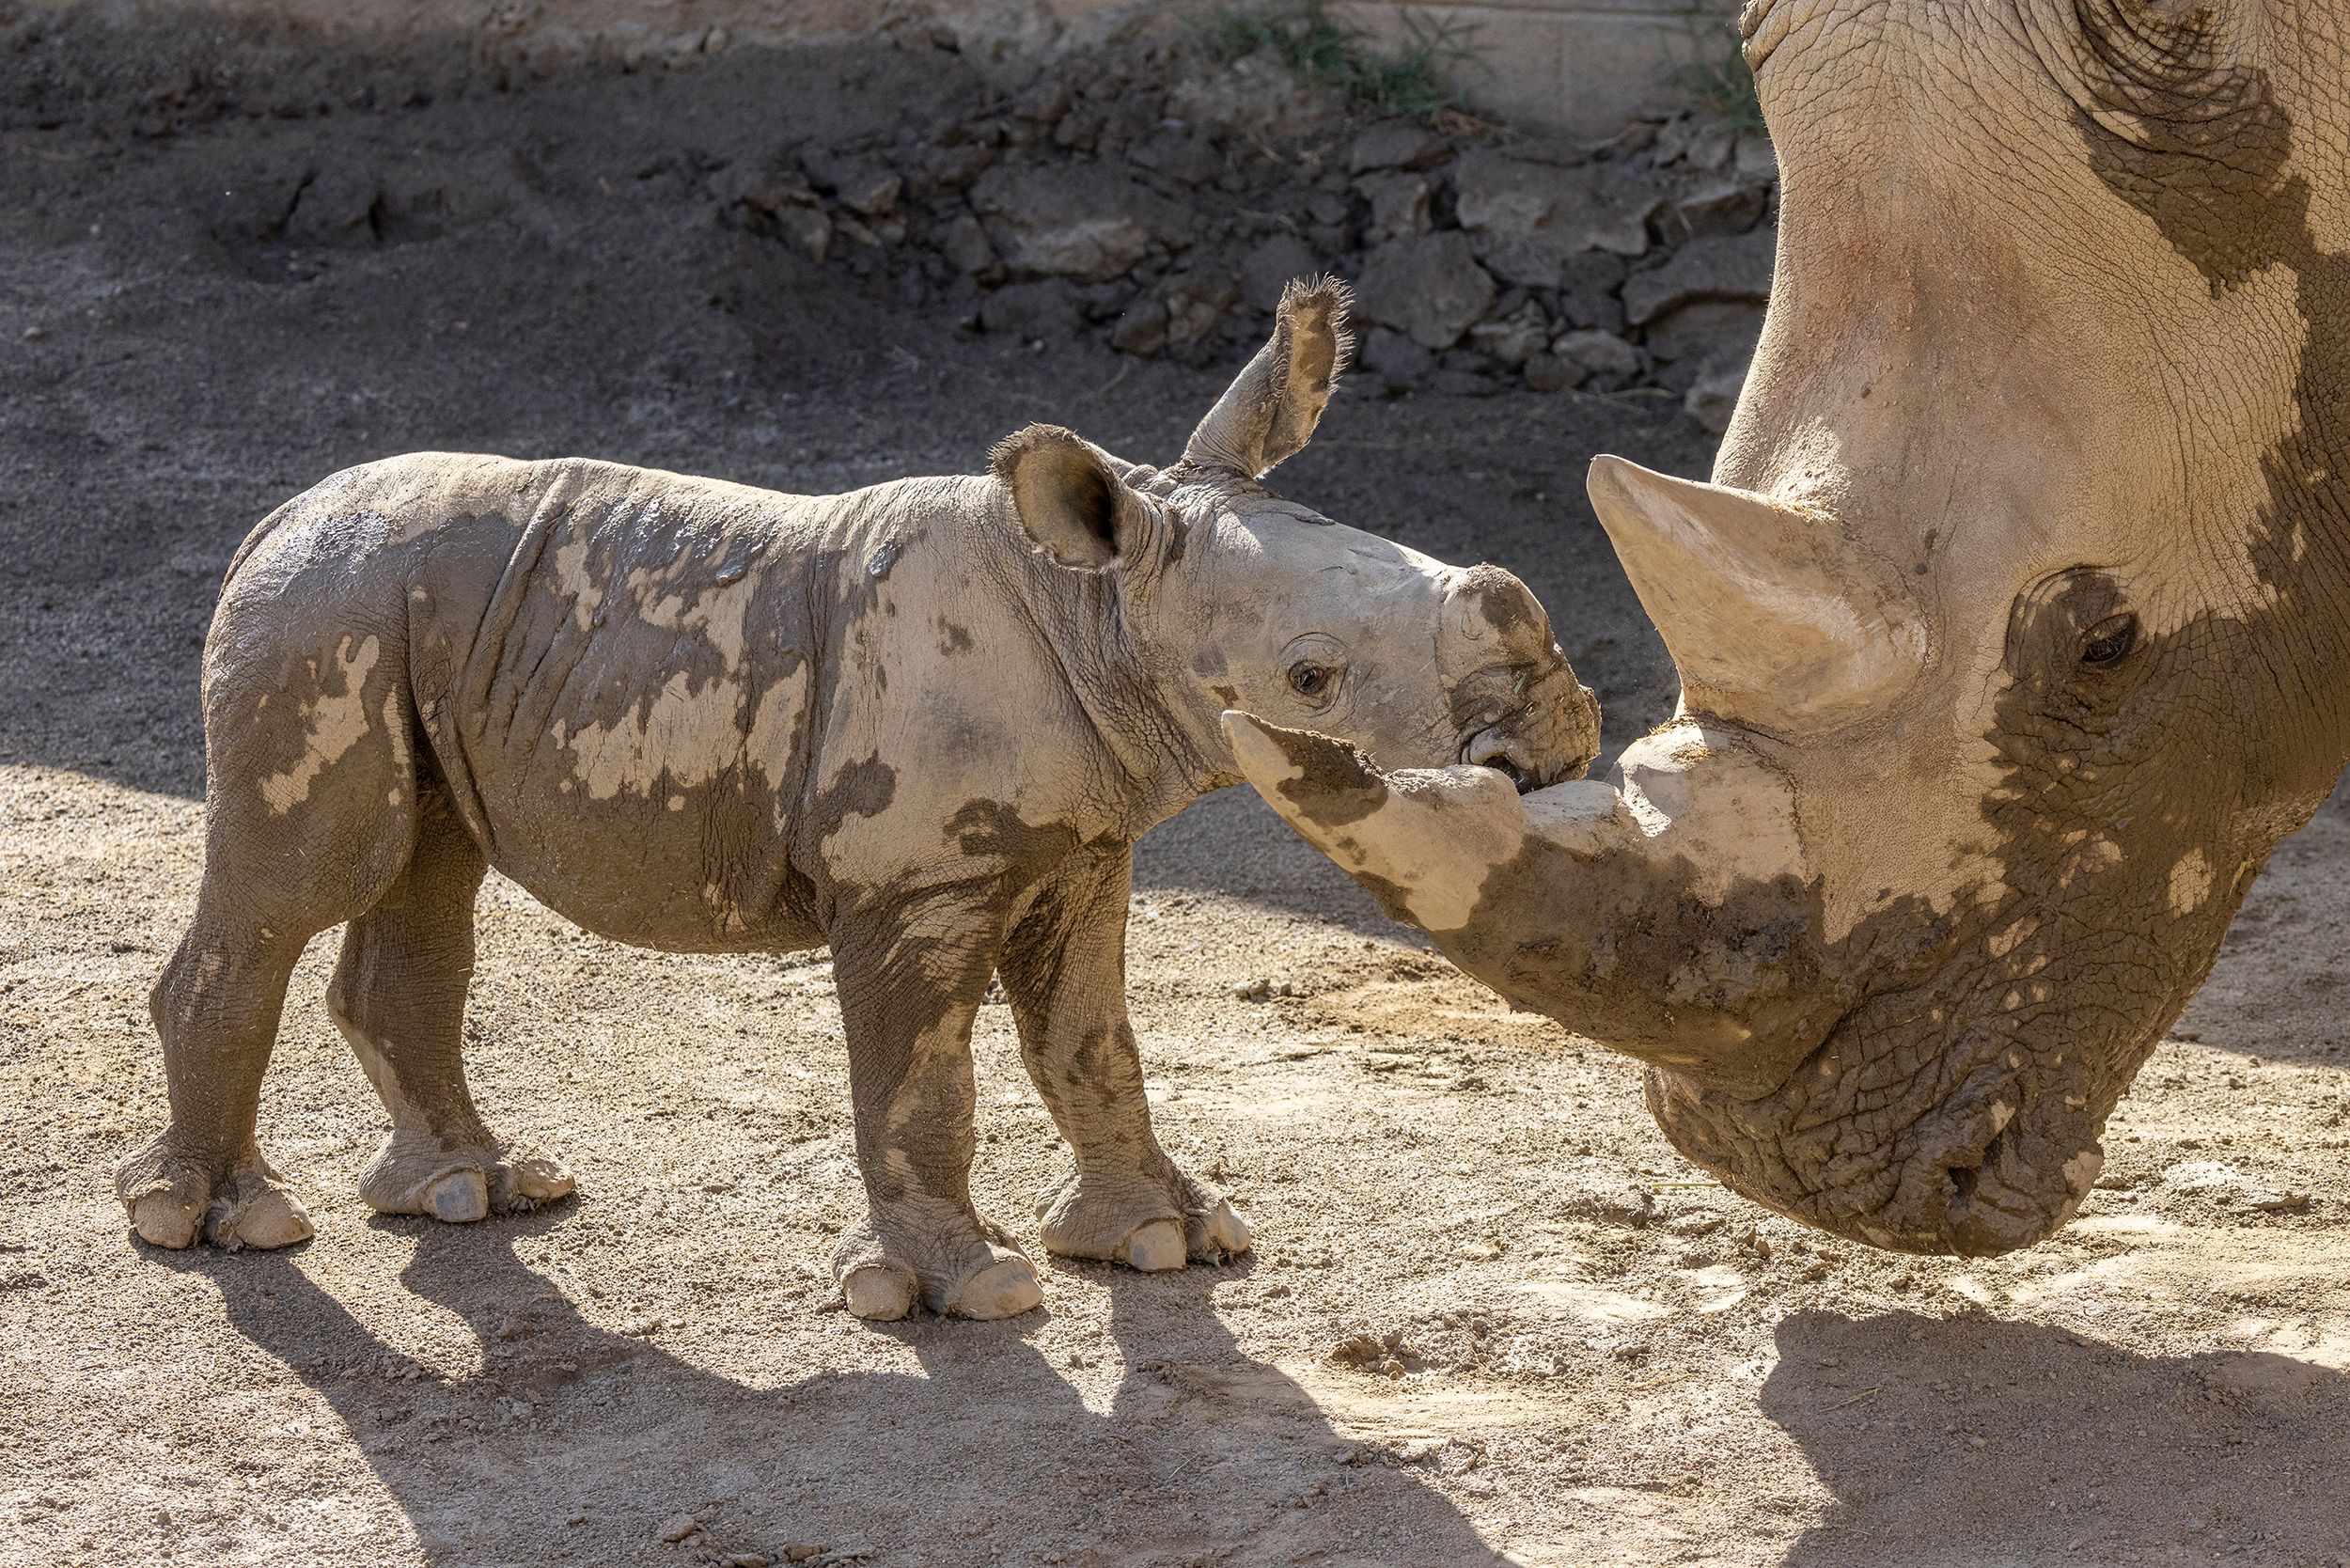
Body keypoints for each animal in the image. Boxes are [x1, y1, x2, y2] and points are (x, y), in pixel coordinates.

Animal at [118, 278, 1607, 1316]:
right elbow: (921, 1078)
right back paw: (219, 1227)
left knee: (426, 866)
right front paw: (969, 1292)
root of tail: (272, 518)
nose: (1557, 727)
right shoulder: (913, 877)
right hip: (325, 610)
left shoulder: (1083, 845)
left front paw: (1166, 1241)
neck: (1102, 602)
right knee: (301, 882)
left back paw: (473, 1193)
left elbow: (1092, 1040)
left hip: (412, 613)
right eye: (1310, 678)